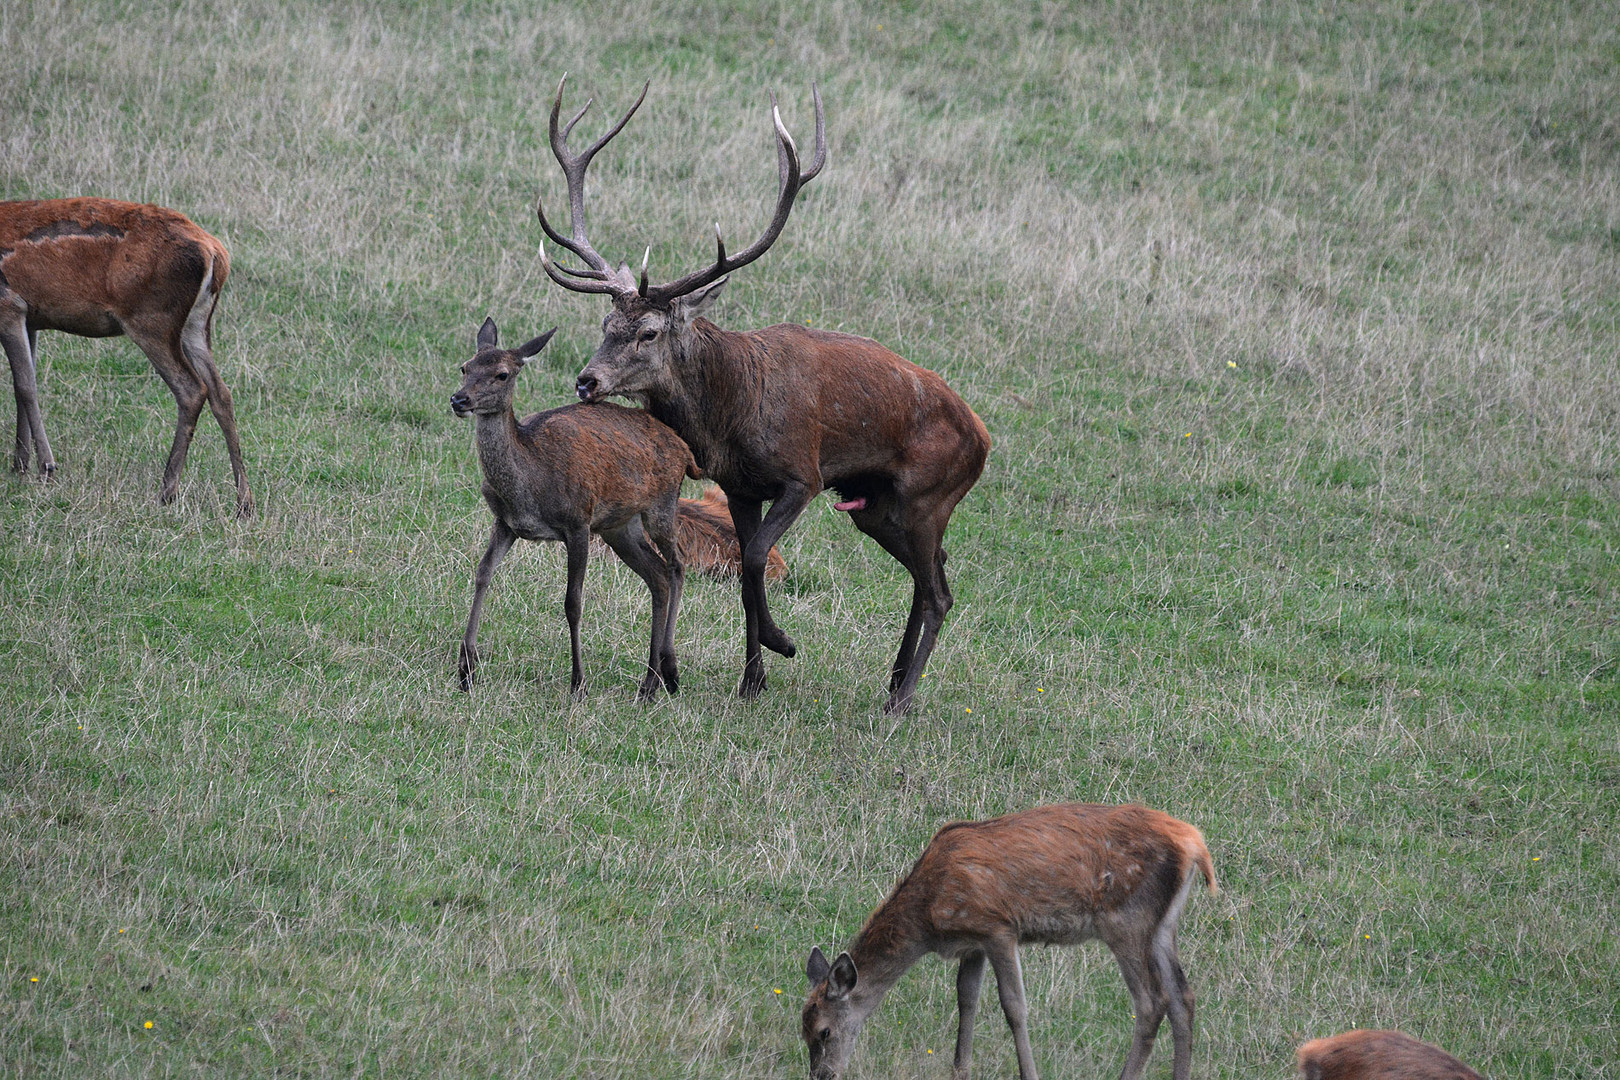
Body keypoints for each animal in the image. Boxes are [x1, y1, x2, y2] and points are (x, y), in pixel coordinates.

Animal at [1, 199, 254, 518]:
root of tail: (215, 252)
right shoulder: (32, 318)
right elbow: (20, 385)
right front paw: (19, 466)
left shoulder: (10, 304)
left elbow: (26, 387)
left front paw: (46, 468)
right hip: (196, 323)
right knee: (222, 393)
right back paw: (244, 502)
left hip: (150, 319)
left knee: (192, 389)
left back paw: (167, 491)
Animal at [450, 317, 696, 702]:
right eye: (465, 366)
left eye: (502, 374)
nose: (459, 399)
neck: (530, 482)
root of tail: (685, 449)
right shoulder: (505, 522)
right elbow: (482, 575)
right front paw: (466, 671)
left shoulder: (578, 521)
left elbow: (573, 602)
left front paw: (578, 682)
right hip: (618, 526)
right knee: (657, 575)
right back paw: (649, 682)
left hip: (661, 505)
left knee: (677, 565)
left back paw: (666, 672)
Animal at [534, 78, 984, 718]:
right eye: (605, 323)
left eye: (650, 333)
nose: (586, 382)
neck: (732, 416)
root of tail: (984, 438)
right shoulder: (739, 487)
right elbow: (747, 576)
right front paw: (752, 680)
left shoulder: (803, 475)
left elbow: (752, 562)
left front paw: (782, 642)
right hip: (878, 507)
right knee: (929, 580)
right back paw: (894, 679)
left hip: (929, 496)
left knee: (941, 592)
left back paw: (902, 699)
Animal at [797, 803, 1218, 1080]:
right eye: (802, 1030)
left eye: (824, 1031)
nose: (822, 1075)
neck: (928, 916)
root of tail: (1195, 844)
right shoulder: (972, 941)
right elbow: (966, 998)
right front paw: (960, 1070)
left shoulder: (997, 926)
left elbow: (1014, 1006)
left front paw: (1028, 1074)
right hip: (1161, 927)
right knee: (1183, 995)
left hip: (1126, 919)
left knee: (1151, 1002)